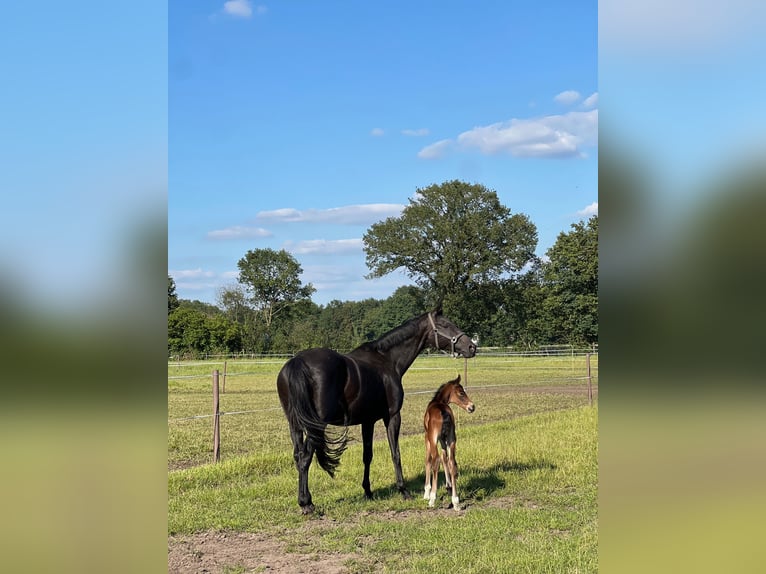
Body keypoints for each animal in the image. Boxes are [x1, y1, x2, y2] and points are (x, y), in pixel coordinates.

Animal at [423, 374, 475, 511]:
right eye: (461, 393)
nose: (472, 407)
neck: (438, 402)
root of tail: (443, 411)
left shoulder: (428, 437)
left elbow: (429, 460)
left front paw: (426, 493)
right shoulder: (443, 439)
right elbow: (445, 457)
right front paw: (449, 486)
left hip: (433, 439)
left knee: (435, 461)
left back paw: (432, 499)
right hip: (452, 438)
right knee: (452, 462)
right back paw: (455, 501)